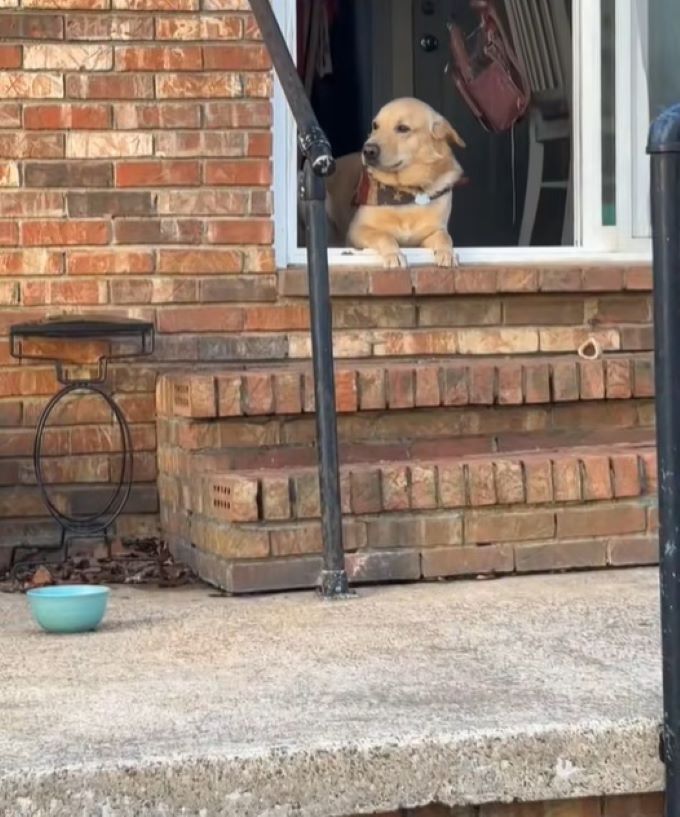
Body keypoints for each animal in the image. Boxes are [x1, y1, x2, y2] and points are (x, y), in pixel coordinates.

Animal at [326, 97, 464, 266]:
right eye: (375, 126)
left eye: (403, 128)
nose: (367, 150)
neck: (406, 190)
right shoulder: (357, 230)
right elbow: (384, 235)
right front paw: (394, 254)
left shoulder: (435, 230)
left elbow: (445, 237)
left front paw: (448, 253)